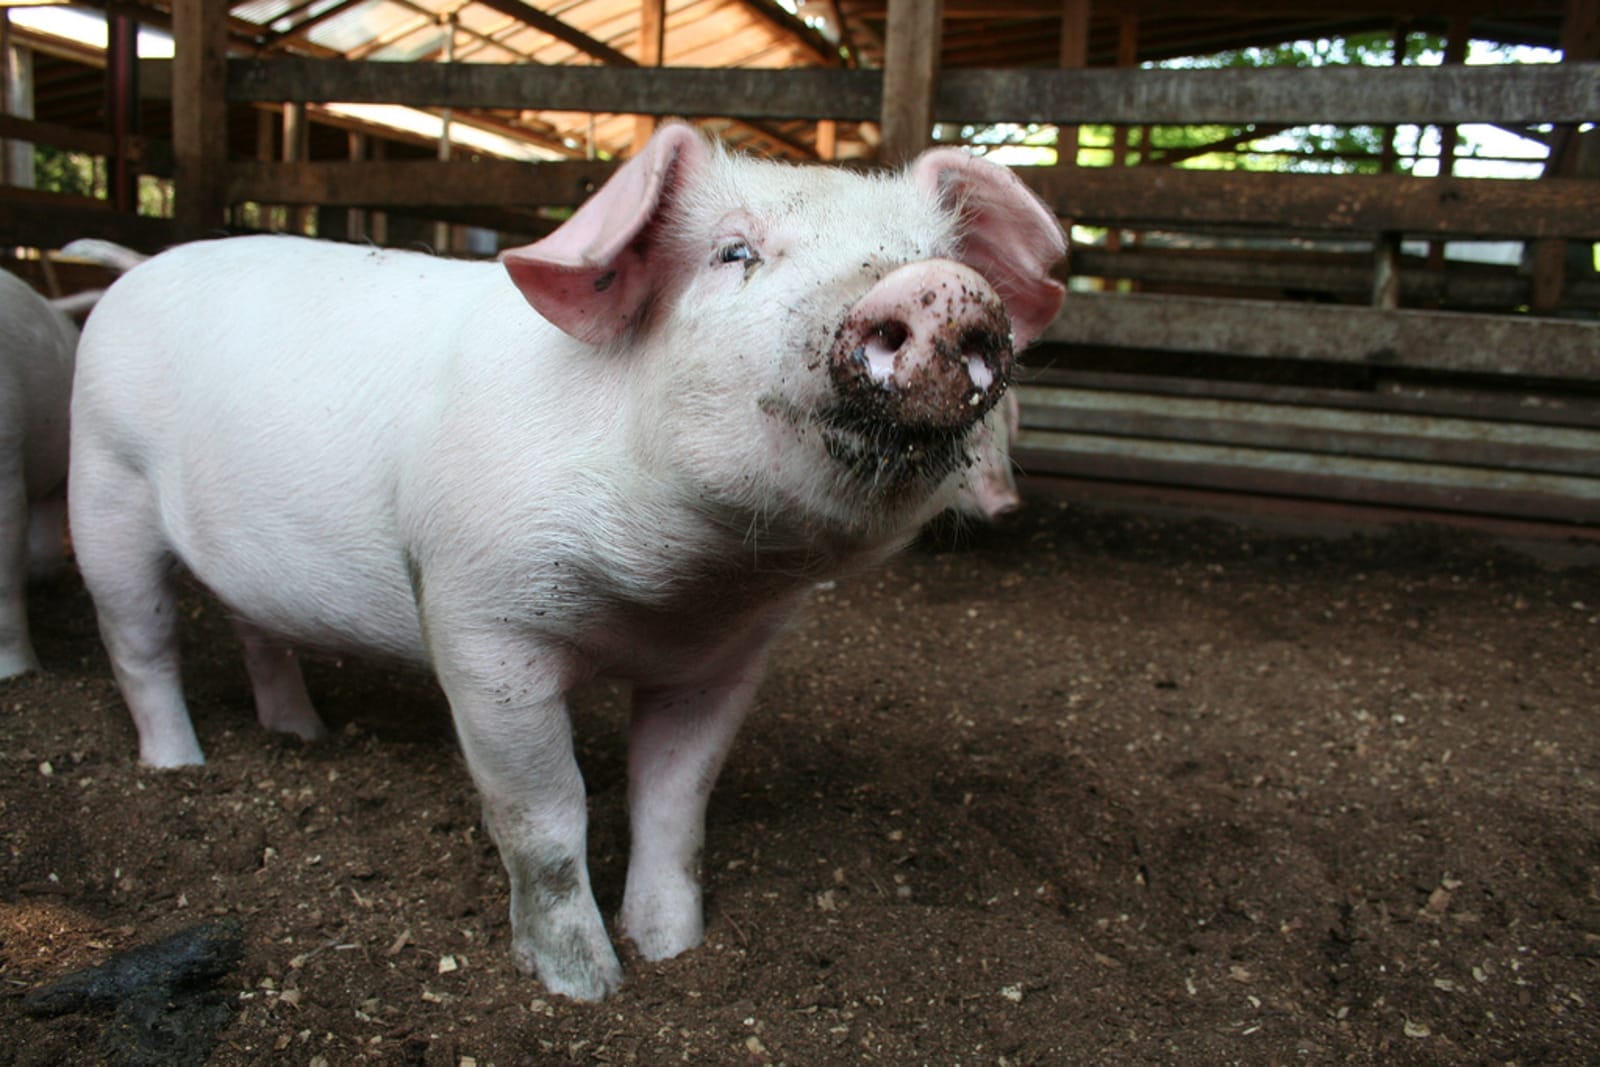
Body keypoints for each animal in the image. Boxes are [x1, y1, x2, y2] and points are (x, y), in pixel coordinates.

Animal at [69, 124, 1066, 1000]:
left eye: (931, 252)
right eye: (733, 252)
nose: (942, 285)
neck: (676, 594)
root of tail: (132, 271)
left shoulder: (726, 659)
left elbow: (674, 804)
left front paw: (672, 951)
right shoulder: (478, 622)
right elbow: (545, 817)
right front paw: (589, 989)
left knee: (255, 629)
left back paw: (300, 737)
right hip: (106, 487)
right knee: (140, 646)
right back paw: (179, 769)